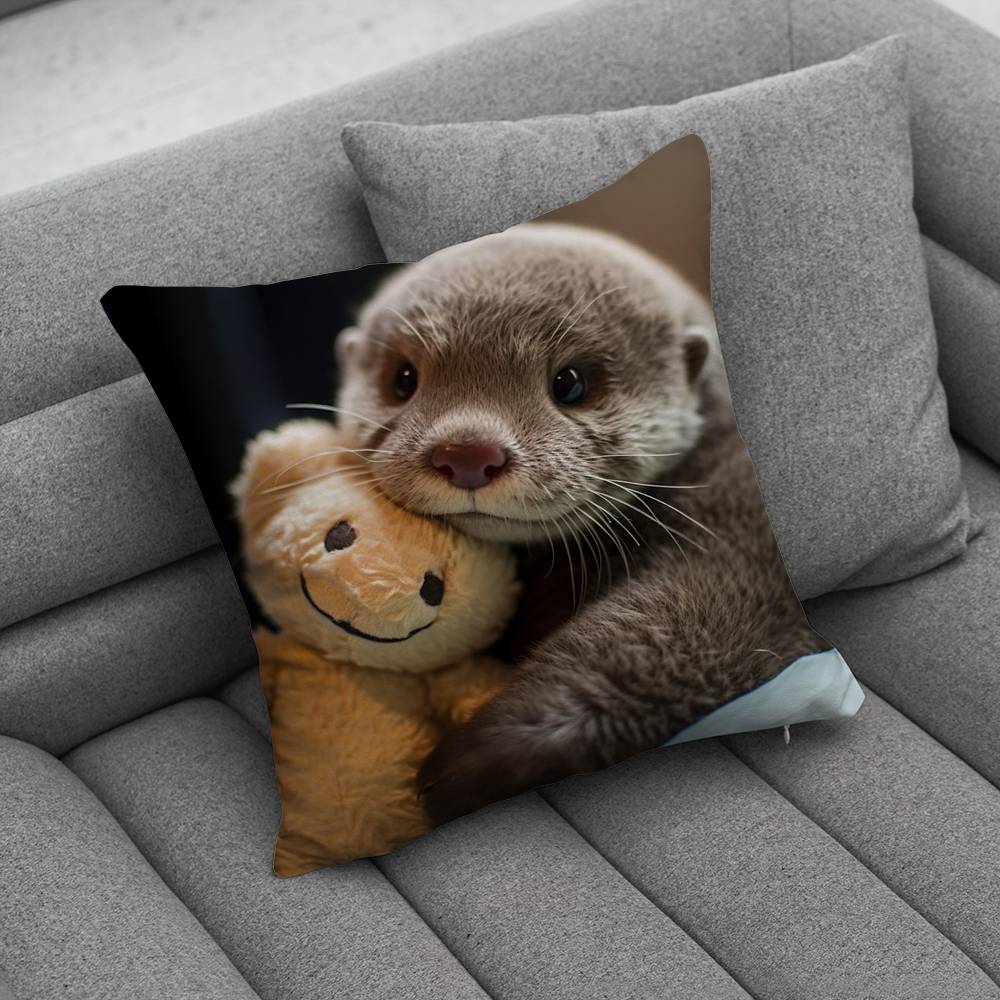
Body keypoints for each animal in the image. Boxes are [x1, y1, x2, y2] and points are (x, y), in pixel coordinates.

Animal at [333, 223, 826, 822]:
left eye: (569, 383)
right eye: (404, 379)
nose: (468, 452)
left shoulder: (742, 544)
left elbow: (668, 638)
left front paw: (472, 761)